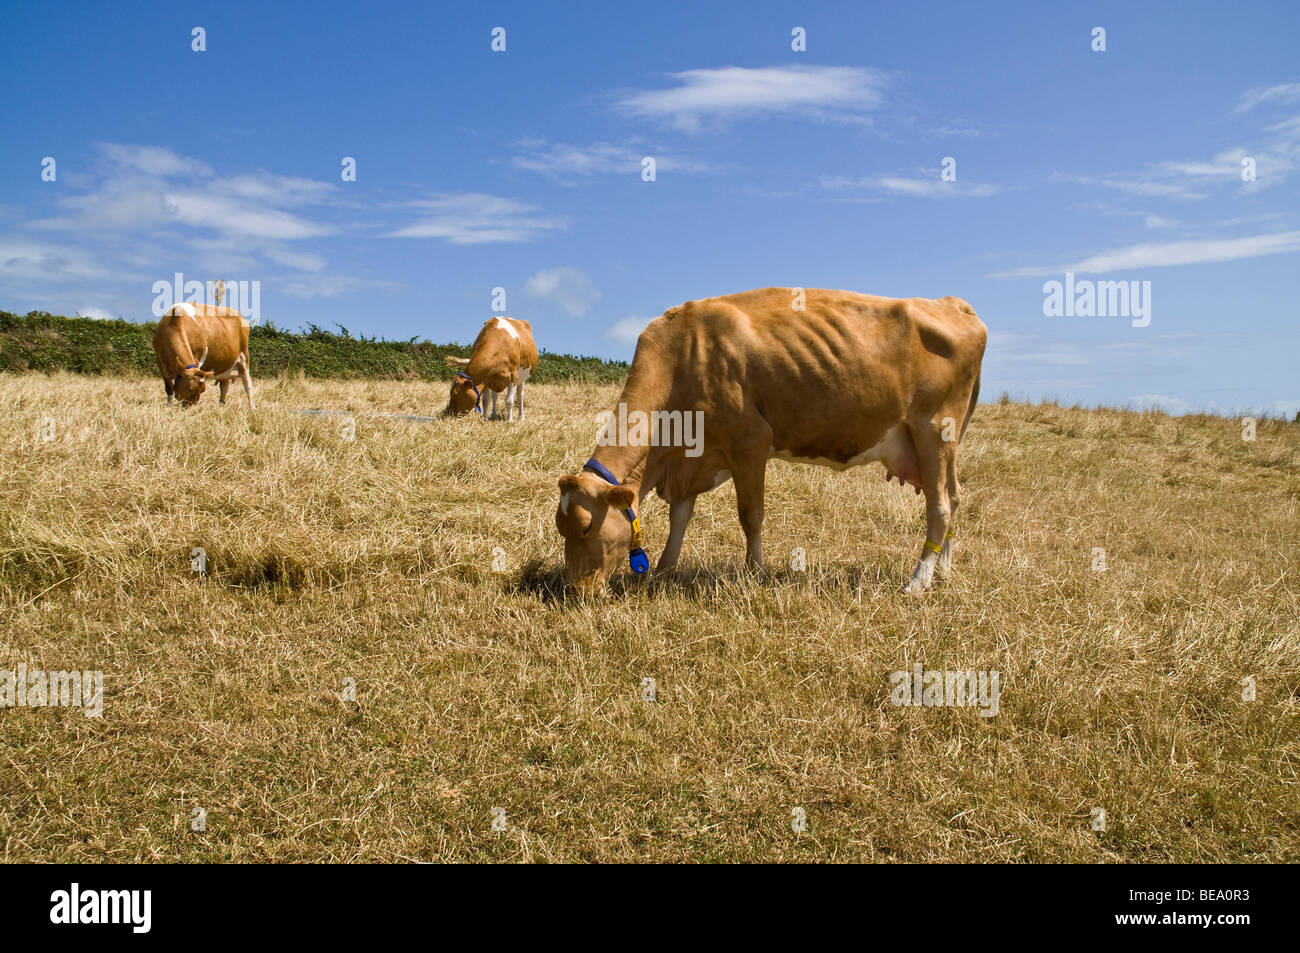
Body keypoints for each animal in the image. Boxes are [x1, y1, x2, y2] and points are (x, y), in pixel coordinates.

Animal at [553, 286, 987, 595]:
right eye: (562, 529)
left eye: (587, 528)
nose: (577, 591)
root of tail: (954, 304)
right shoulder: (692, 458)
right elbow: (681, 516)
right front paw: (664, 570)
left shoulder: (750, 443)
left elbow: (751, 516)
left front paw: (754, 574)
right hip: (941, 442)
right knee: (955, 496)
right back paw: (944, 572)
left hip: (935, 428)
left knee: (940, 505)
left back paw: (918, 581)